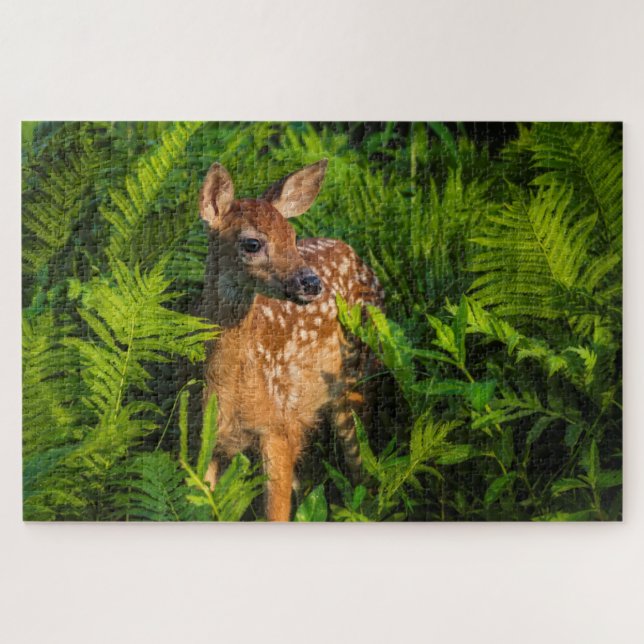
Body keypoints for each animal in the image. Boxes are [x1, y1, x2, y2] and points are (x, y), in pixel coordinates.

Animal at [199, 159, 384, 521]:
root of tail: (355, 255)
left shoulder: (277, 429)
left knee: (363, 469)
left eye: (292, 236)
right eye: (252, 243)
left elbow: (276, 513)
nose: (311, 282)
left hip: (357, 378)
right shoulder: (206, 439)